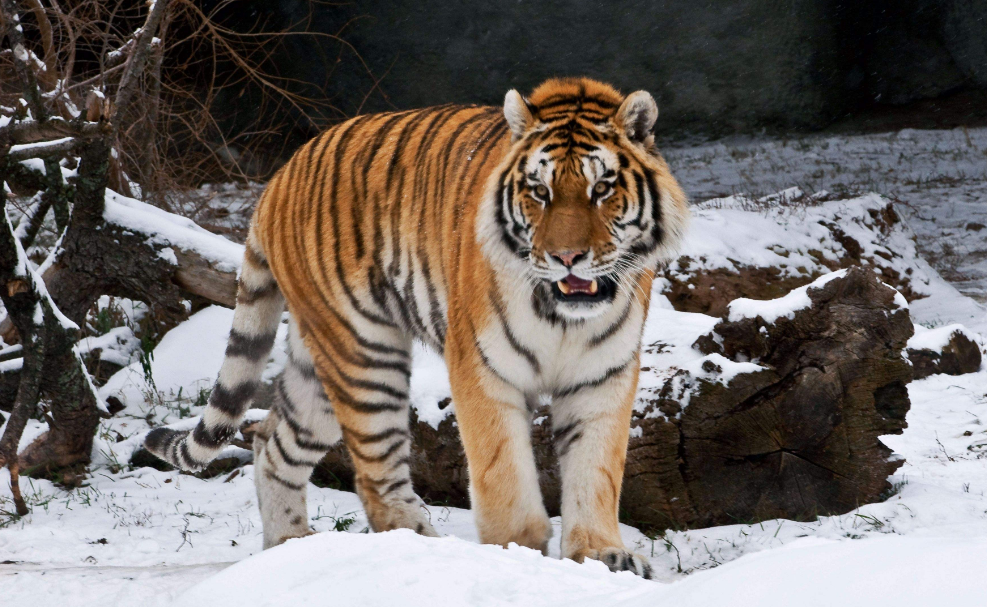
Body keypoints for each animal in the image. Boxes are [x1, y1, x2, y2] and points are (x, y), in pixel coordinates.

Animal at [145, 77, 689, 579]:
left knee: (271, 443)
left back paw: (289, 550)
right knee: (374, 475)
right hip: (363, 353)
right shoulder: (481, 369)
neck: (563, 316)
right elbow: (502, 472)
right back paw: (425, 551)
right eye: (540, 192)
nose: (567, 257)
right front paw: (516, 553)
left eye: (602, 189)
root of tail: (279, 177)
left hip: (316, 367)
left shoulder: (602, 376)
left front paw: (601, 556)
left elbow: (596, 471)